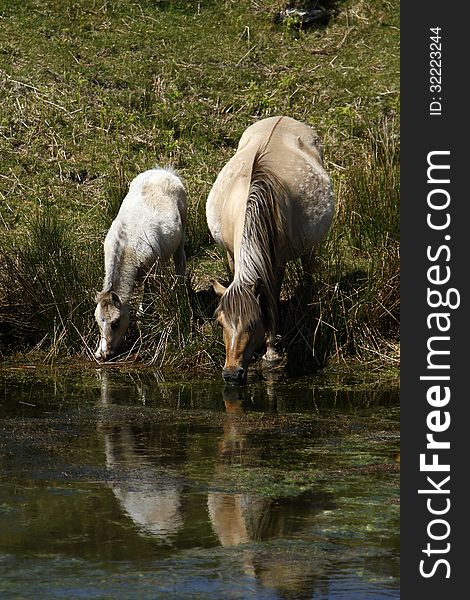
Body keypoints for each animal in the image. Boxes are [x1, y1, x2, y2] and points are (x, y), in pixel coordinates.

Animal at [94, 166, 186, 358]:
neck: (127, 247)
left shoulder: (152, 271)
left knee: (180, 260)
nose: (105, 354)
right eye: (98, 322)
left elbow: (146, 302)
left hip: (183, 226)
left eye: (115, 323)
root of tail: (164, 172)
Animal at [206, 115, 334, 382]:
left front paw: (271, 352)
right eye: (220, 322)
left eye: (254, 323)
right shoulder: (231, 255)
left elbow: (273, 298)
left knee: (308, 265)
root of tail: (283, 118)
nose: (231, 374)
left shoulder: (276, 264)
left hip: (309, 247)